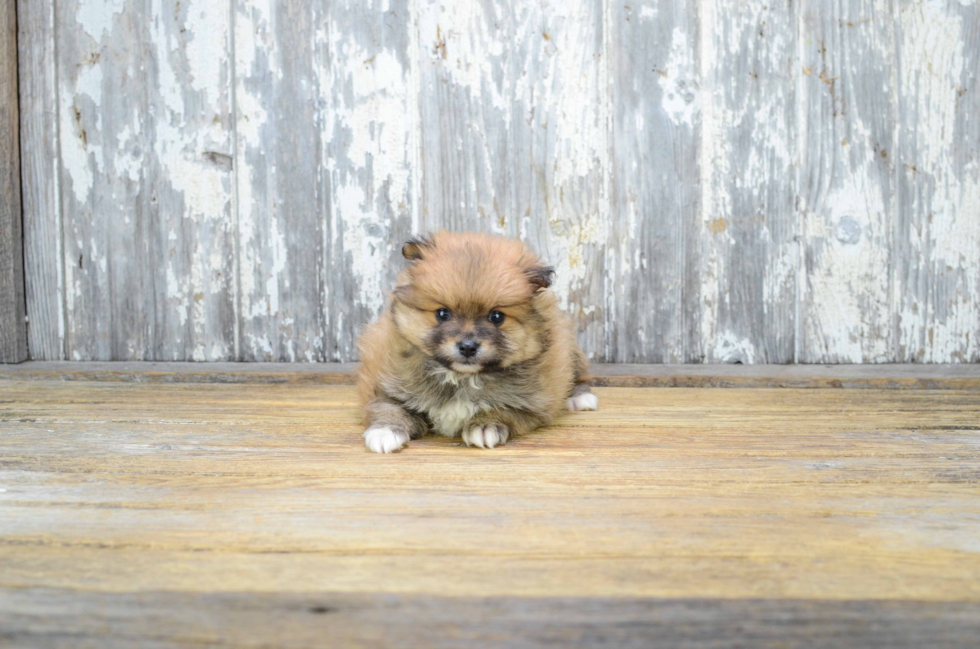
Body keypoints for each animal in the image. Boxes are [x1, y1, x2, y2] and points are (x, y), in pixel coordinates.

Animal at [354, 230, 592, 454]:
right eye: (442, 314)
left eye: (496, 317)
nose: (468, 347)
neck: (462, 378)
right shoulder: (384, 382)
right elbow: (388, 407)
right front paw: (385, 432)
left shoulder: (533, 404)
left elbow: (504, 409)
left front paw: (485, 426)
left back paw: (580, 398)